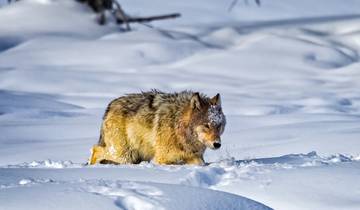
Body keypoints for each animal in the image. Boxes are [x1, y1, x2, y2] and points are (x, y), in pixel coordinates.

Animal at [88, 90, 225, 166]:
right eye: (206, 125)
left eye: (219, 126)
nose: (217, 144)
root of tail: (110, 106)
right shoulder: (161, 159)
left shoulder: (195, 156)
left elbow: (200, 163)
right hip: (124, 155)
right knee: (95, 149)